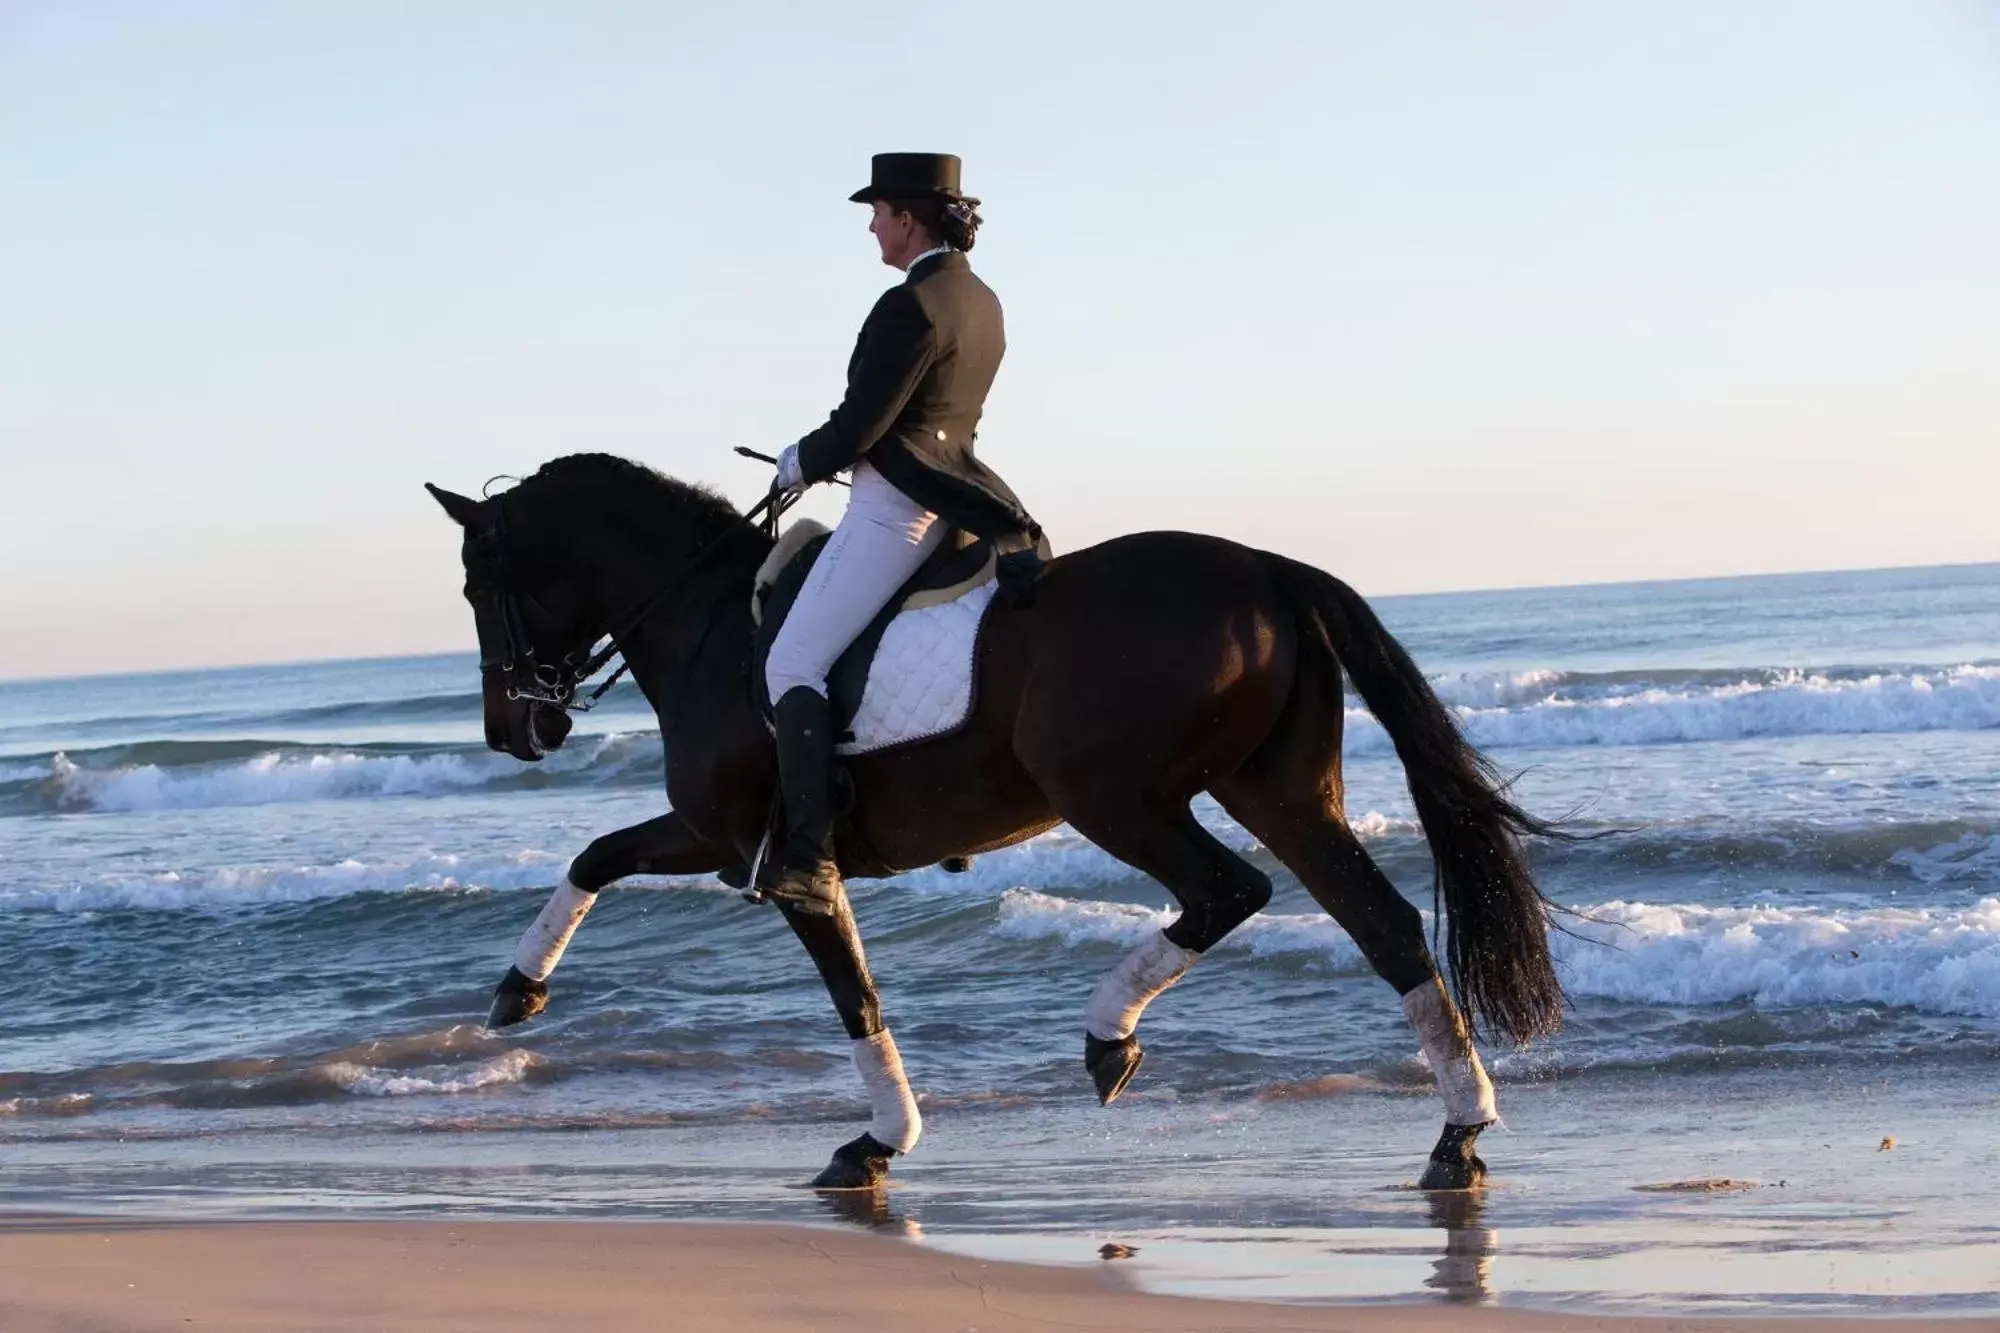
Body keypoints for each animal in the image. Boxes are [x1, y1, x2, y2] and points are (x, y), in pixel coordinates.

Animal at [430, 454, 1568, 1184]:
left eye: (478, 586)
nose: (513, 731)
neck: (706, 617)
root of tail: (1261, 569)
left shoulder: (766, 852)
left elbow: (851, 993)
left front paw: (879, 1141)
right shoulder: (717, 839)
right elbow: (597, 854)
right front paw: (517, 990)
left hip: (1108, 793)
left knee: (1227, 890)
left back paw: (1110, 1039)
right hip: (1277, 791)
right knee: (1380, 924)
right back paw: (1460, 1133)